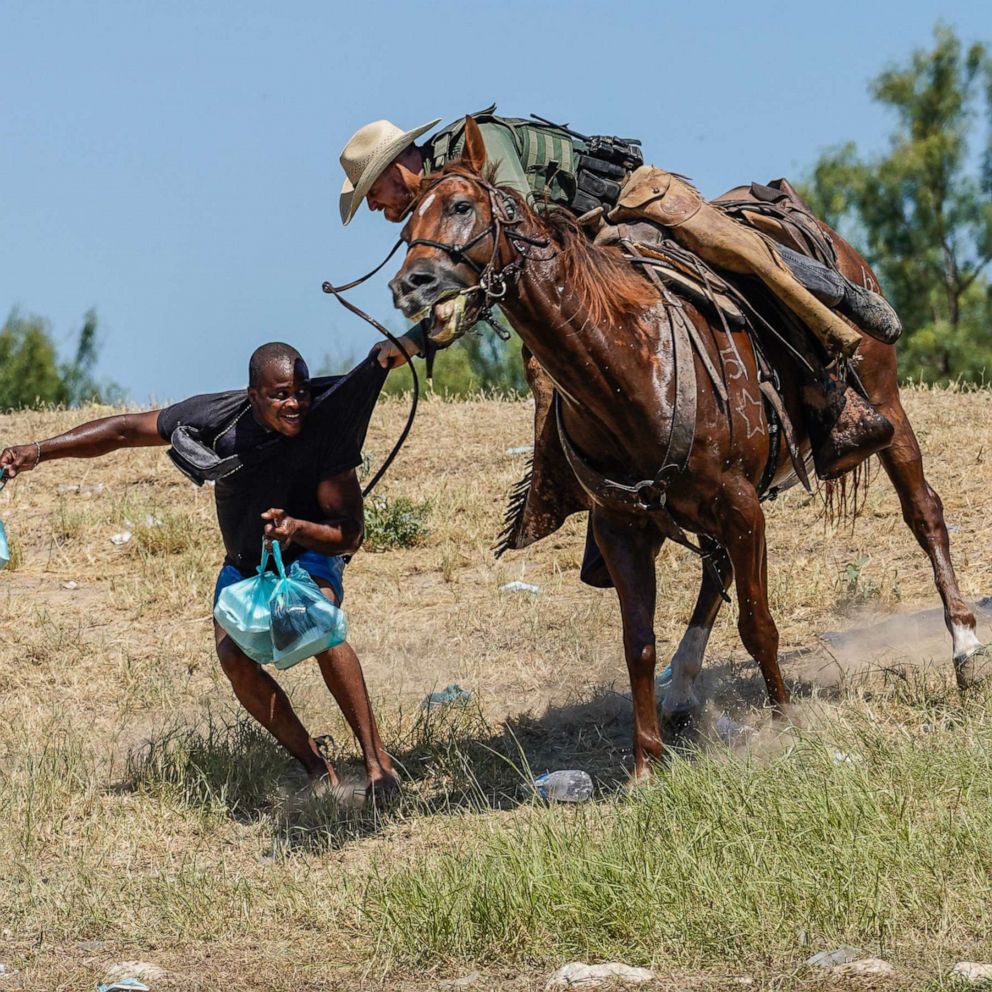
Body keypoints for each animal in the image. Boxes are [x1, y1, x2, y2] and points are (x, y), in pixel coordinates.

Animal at [386, 116, 984, 780]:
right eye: (405, 228)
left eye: (462, 206)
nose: (409, 285)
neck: (631, 363)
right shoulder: (623, 526)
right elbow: (638, 643)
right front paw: (646, 764)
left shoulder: (741, 506)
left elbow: (758, 624)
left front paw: (785, 724)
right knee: (714, 569)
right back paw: (683, 687)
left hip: (886, 406)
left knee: (923, 512)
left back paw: (963, 647)